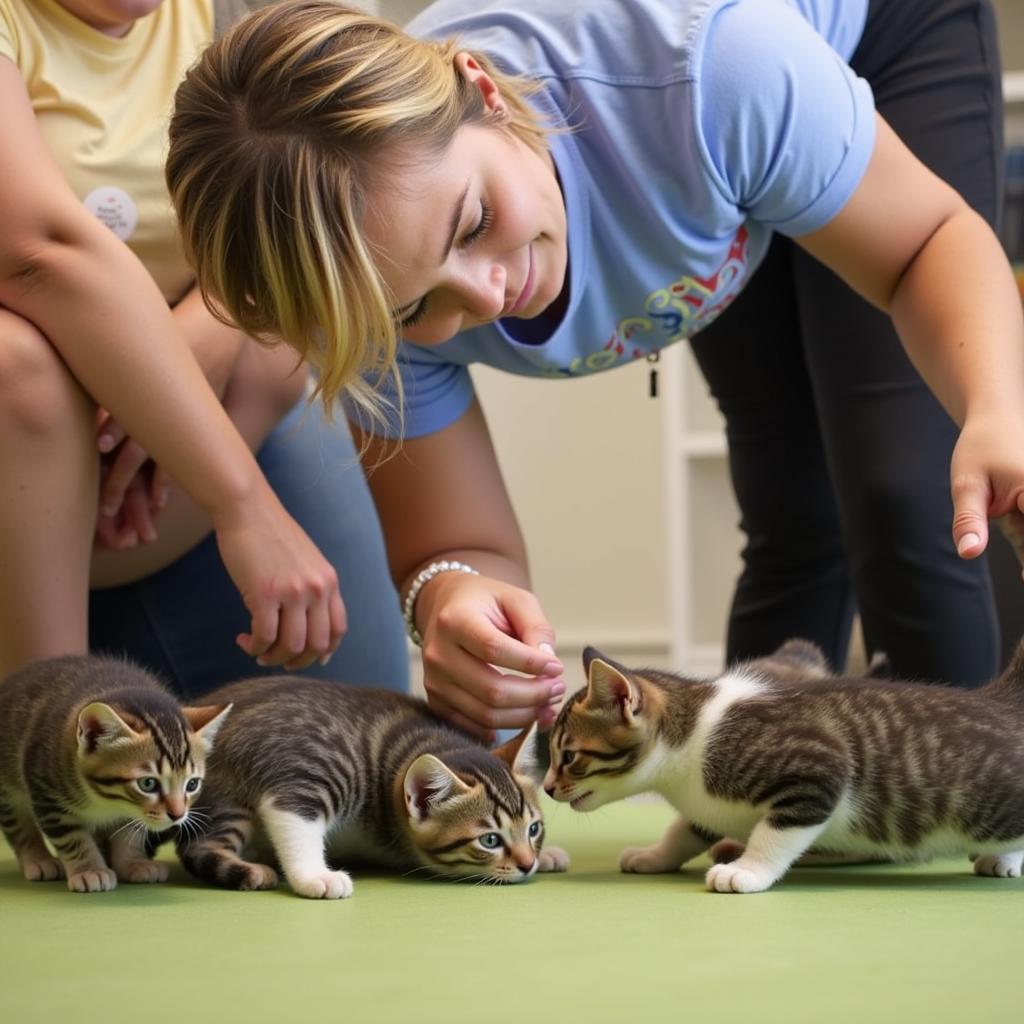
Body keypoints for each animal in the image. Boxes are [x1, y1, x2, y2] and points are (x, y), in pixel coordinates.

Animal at [0, 655, 228, 888]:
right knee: (18, 825)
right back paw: (39, 860)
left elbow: (130, 831)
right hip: (7, 789)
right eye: (148, 784)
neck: (104, 801)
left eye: (192, 784)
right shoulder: (48, 795)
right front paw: (90, 870)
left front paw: (133, 863)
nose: (178, 814)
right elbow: (72, 837)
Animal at [171, 675, 565, 901]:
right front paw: (314, 876)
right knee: (200, 846)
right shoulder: (312, 771)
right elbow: (293, 818)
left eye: (533, 829)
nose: (528, 864)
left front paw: (545, 854)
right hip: (222, 798)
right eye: (490, 840)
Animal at [544, 634, 1024, 892]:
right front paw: (654, 855)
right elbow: (686, 828)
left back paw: (1007, 858)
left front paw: (747, 870)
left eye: (568, 756)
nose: (547, 787)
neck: (695, 732)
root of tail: (1000, 700)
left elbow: (774, 834)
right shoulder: (709, 803)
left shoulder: (818, 769)